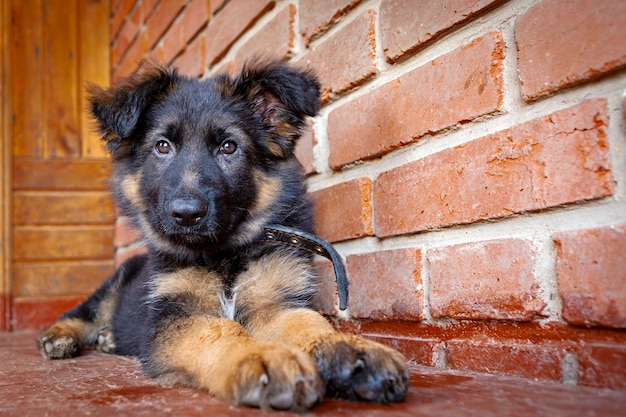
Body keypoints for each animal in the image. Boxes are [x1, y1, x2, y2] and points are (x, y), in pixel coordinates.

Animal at [39, 61, 410, 410]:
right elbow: (219, 329)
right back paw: (60, 335)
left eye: (229, 147)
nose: (187, 214)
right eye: (162, 146)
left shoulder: (273, 303)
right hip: (114, 284)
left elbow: (307, 321)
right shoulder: (173, 317)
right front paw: (259, 356)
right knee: (83, 312)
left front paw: (349, 349)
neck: (224, 254)